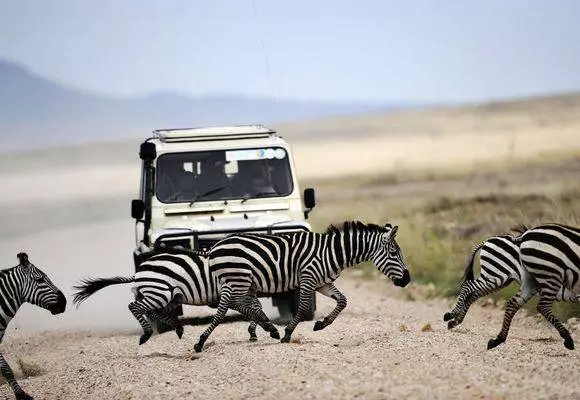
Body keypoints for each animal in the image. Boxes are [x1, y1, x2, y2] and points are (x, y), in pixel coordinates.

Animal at [71, 247, 280, 344]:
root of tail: (139, 271)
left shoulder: (244, 291)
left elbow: (255, 307)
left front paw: (256, 330)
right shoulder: (236, 290)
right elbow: (252, 308)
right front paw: (263, 328)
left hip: (163, 295)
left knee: (150, 310)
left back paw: (178, 328)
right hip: (159, 293)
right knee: (134, 306)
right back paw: (147, 334)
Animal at [193, 220, 410, 352]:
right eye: (393, 254)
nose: (407, 280)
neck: (332, 253)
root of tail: (215, 246)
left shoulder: (323, 283)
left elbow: (342, 301)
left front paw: (322, 324)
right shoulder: (308, 278)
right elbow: (303, 306)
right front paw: (288, 333)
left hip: (233, 280)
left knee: (230, 306)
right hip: (238, 279)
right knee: (230, 306)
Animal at [442, 231, 576, 332]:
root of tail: (488, 240)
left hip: (499, 280)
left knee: (473, 294)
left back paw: (455, 321)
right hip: (495, 275)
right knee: (468, 286)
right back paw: (452, 315)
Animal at [490, 222, 580, 350]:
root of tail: (524, 235)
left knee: (514, 303)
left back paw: (498, 339)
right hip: (550, 274)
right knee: (542, 306)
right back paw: (568, 340)